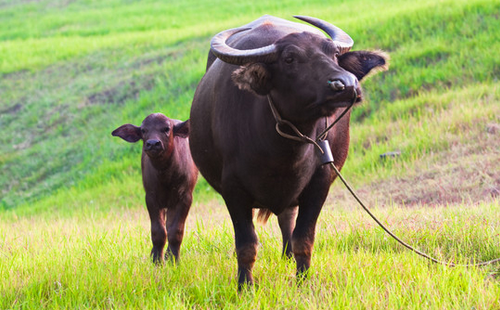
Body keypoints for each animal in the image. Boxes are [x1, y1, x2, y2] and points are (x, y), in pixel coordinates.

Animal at [113, 112, 197, 262]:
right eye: (143, 130)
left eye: (166, 128)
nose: (153, 144)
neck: (166, 175)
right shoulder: (151, 198)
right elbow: (158, 232)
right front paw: (157, 260)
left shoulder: (185, 197)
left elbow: (176, 231)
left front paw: (174, 259)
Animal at [189, 15, 388, 290]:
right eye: (290, 59)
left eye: (333, 53)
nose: (346, 84)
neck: (282, 152)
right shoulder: (232, 189)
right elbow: (246, 244)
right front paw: (245, 286)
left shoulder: (320, 183)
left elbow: (303, 238)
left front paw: (303, 281)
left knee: (287, 218)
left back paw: (288, 256)